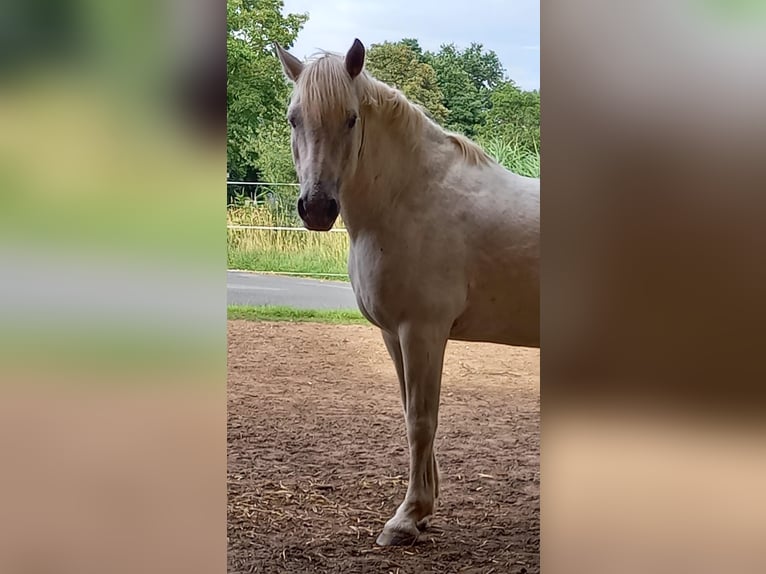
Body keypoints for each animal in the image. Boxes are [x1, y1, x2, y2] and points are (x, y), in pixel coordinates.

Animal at [275, 38, 540, 546]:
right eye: (294, 118)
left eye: (351, 118)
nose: (317, 208)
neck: (408, 198)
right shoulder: (393, 334)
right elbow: (409, 413)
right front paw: (422, 512)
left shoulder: (423, 331)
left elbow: (421, 420)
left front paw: (405, 518)